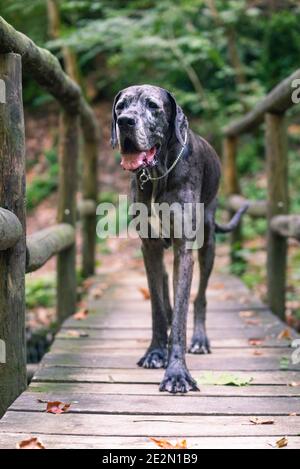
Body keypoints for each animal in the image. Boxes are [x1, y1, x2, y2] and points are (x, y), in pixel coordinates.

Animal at [111, 84, 247, 392]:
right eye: (120, 107)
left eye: (153, 106)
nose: (125, 121)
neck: (157, 174)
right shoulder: (149, 247)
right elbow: (158, 308)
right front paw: (155, 352)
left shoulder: (184, 248)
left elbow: (183, 308)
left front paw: (176, 372)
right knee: (163, 289)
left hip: (208, 244)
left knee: (200, 297)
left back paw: (199, 340)